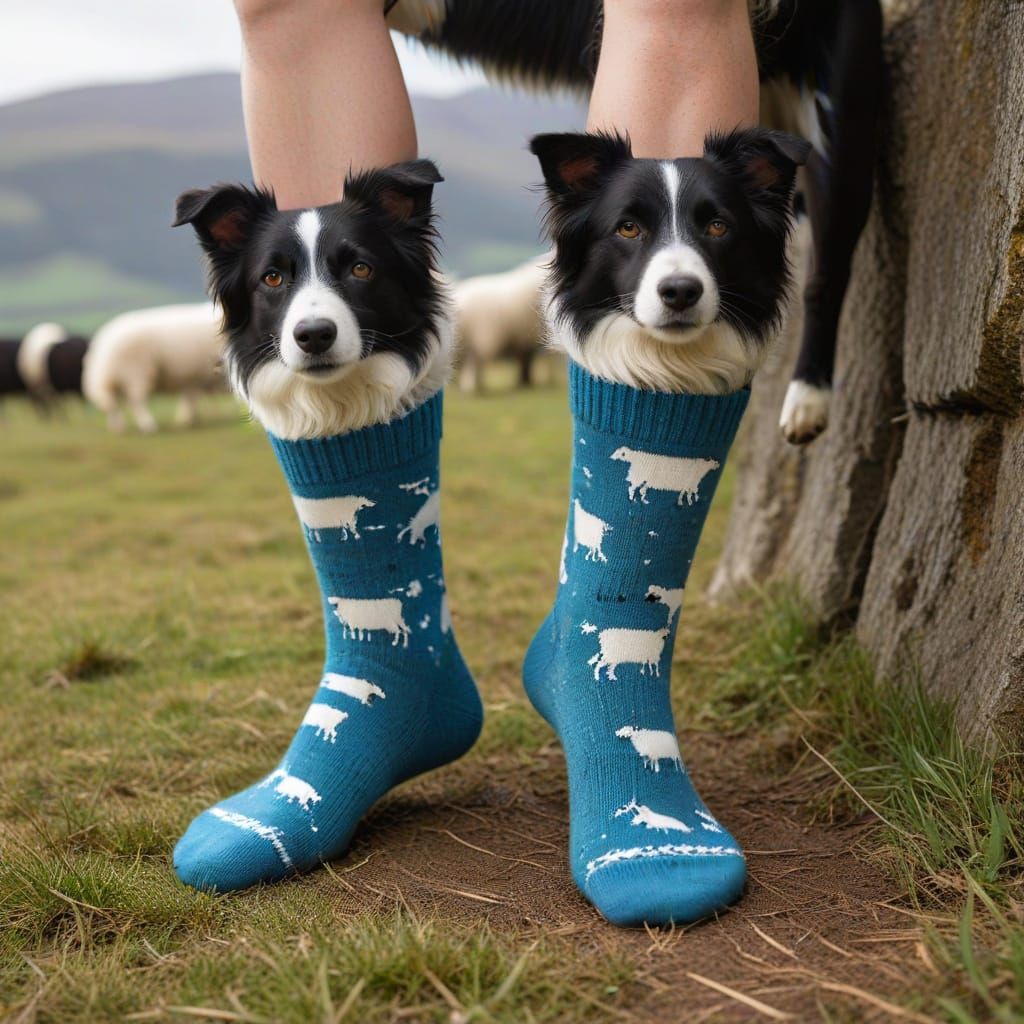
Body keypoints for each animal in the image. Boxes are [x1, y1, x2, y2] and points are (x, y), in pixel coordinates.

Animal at [82, 302, 225, 433]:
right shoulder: (194, 375)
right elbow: (190, 399)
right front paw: (187, 420)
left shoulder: (191, 377)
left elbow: (189, 398)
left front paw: (189, 419)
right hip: (136, 374)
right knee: (135, 402)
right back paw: (148, 425)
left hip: (113, 379)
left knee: (112, 404)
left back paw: (118, 427)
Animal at [452, 256, 548, 393]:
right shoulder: (526, 339)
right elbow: (525, 361)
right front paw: (525, 383)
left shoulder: (523, 339)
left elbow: (524, 361)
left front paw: (524, 383)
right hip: (476, 338)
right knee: (473, 364)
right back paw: (472, 387)